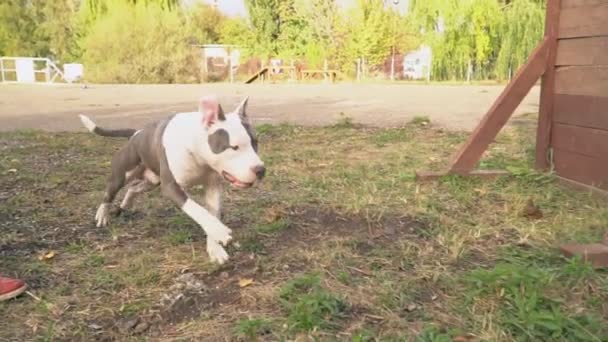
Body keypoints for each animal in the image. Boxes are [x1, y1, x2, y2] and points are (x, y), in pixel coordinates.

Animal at [78, 96, 264, 264]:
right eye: (233, 147)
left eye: (255, 142)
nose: (261, 170)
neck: (195, 150)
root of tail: (136, 134)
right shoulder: (171, 186)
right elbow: (196, 209)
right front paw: (220, 231)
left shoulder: (213, 187)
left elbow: (211, 214)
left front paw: (215, 248)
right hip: (122, 174)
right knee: (110, 192)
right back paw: (102, 215)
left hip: (152, 181)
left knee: (133, 188)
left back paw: (125, 205)